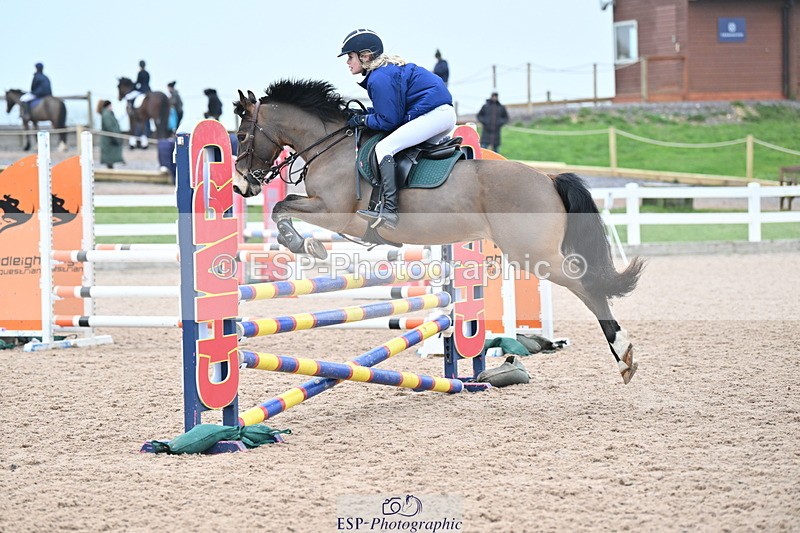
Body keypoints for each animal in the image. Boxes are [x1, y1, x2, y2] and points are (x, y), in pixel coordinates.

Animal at [232, 80, 645, 385]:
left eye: (242, 135)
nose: (240, 185)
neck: (330, 147)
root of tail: (549, 178)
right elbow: (284, 205)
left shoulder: (335, 213)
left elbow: (282, 206)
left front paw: (303, 243)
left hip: (535, 254)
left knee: (587, 286)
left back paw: (624, 355)